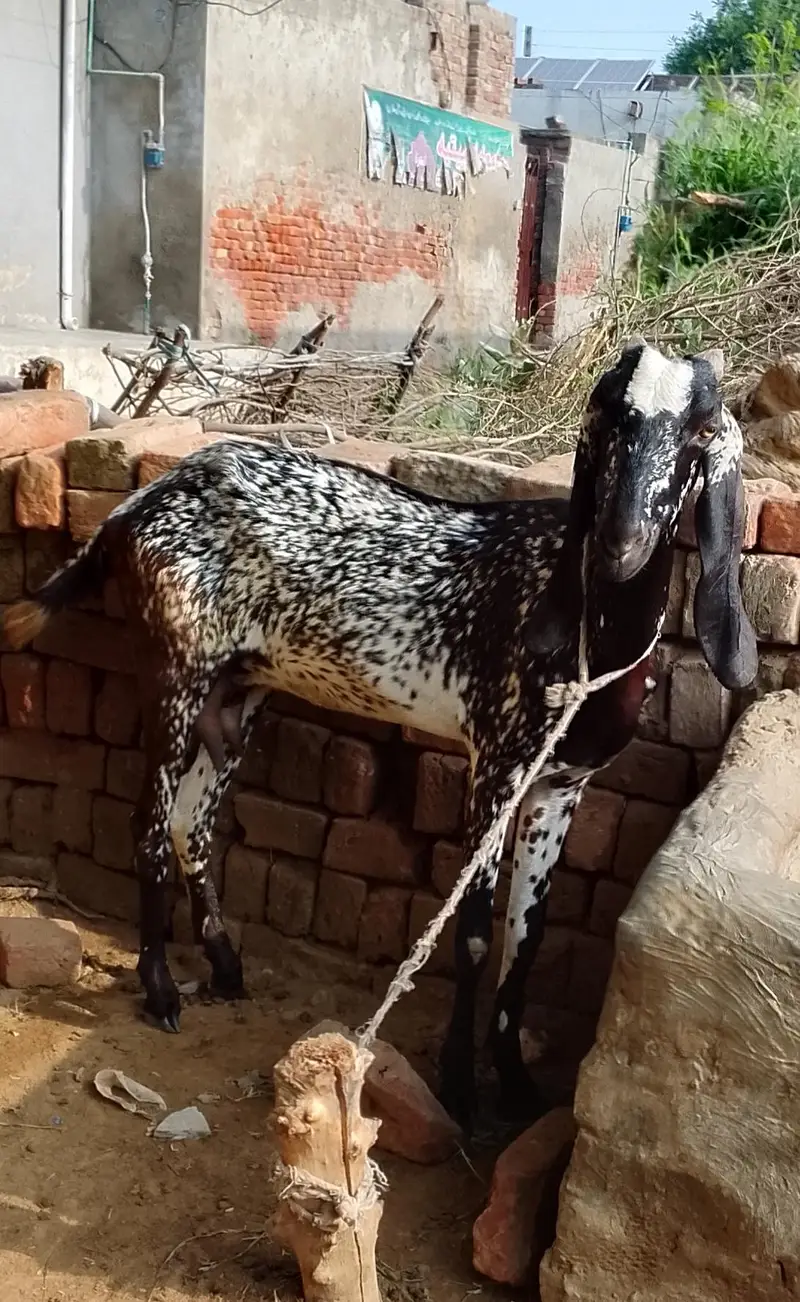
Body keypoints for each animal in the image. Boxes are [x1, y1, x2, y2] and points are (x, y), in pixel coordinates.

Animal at [3, 340, 757, 1131]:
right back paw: (160, 989)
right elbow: (474, 931)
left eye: (702, 431)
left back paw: (227, 967)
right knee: (151, 825)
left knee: (192, 825)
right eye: (609, 420)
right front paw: (459, 1089)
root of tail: (137, 505)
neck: (587, 624)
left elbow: (526, 938)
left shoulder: (561, 787)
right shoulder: (496, 763)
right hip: (175, 671)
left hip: (237, 692)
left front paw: (519, 1088)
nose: (620, 542)